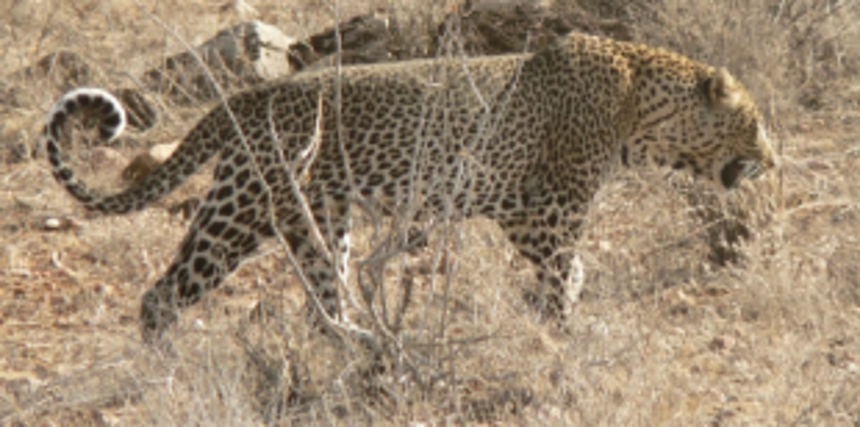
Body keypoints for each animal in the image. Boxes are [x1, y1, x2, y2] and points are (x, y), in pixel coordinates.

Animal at [42, 32, 776, 343]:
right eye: (754, 121)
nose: (773, 156)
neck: (641, 109)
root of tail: (247, 97)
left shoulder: (526, 212)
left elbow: (571, 272)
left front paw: (557, 314)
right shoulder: (547, 207)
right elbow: (565, 270)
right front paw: (563, 332)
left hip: (318, 219)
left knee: (325, 298)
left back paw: (359, 345)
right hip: (240, 208)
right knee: (162, 294)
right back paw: (169, 363)